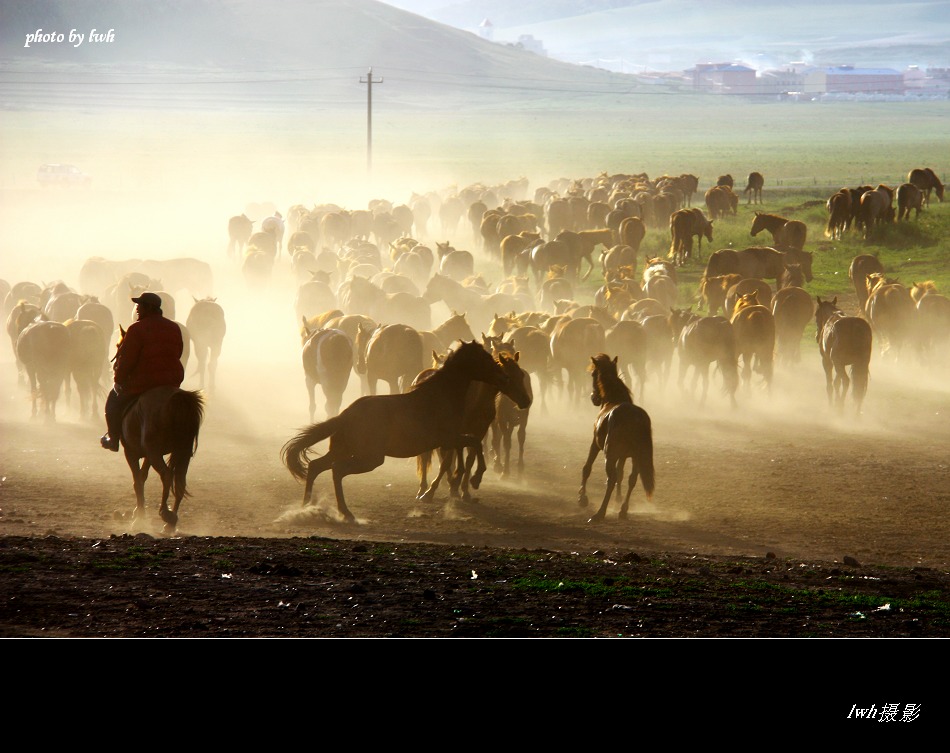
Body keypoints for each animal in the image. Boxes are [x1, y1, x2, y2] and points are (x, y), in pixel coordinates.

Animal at [118, 382, 205, 536]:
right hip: (181, 451)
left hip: (154, 452)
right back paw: (170, 523)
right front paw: (138, 512)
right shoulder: (148, 454)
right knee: (180, 481)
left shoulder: (131, 452)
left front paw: (139, 518)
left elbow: (137, 481)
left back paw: (165, 513)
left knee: (167, 474)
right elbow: (142, 476)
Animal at [280, 340, 516, 524]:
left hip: (345, 451)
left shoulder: (449, 441)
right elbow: (474, 443)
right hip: (369, 458)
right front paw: (475, 479)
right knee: (337, 470)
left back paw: (307, 507)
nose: (504, 377)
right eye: (485, 357)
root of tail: (345, 415)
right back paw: (345, 513)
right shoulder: (449, 439)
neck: (440, 396)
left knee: (316, 466)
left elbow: (470, 446)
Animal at [576, 354, 660, 524]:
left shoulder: (595, 445)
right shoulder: (623, 456)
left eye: (593, 374)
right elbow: (621, 474)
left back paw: (599, 513)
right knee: (631, 479)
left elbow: (587, 468)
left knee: (611, 479)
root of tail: (636, 418)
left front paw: (582, 498)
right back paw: (623, 510)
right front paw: (618, 500)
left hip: (610, 455)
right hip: (636, 457)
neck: (613, 400)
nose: (594, 398)